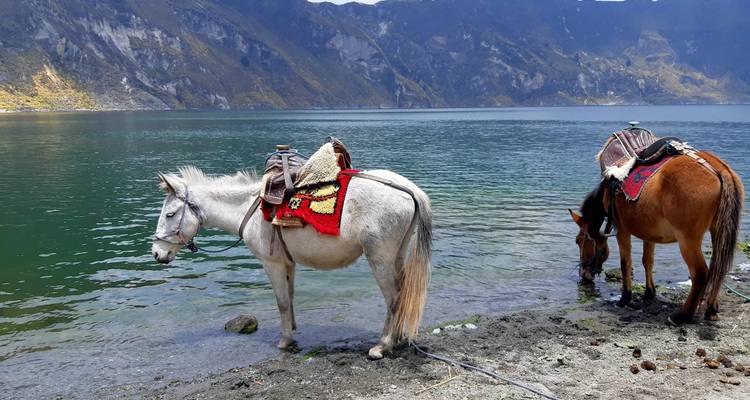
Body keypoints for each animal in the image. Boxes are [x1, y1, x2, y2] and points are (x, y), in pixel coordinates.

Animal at [151, 166, 432, 359]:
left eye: (170, 214)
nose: (156, 253)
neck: (248, 209)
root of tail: (410, 189)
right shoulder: (288, 263)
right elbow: (291, 296)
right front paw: (294, 329)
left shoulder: (271, 263)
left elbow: (282, 302)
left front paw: (285, 341)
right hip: (396, 256)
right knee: (403, 293)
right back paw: (398, 337)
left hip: (380, 259)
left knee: (393, 298)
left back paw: (383, 345)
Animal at [570, 152, 744, 324]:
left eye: (578, 241)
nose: (583, 274)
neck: (609, 190)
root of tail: (719, 168)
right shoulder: (649, 233)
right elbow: (647, 261)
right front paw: (649, 293)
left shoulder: (622, 231)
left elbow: (625, 264)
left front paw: (625, 298)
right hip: (718, 233)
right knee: (718, 269)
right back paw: (711, 309)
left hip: (688, 241)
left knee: (700, 273)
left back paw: (682, 315)